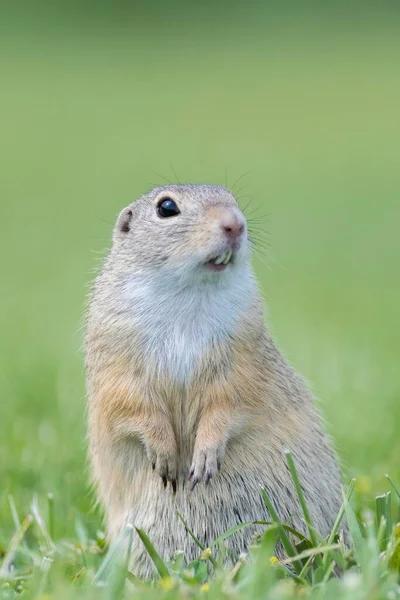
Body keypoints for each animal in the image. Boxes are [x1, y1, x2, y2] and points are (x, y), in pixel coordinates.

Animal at [86, 183, 342, 576]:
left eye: (232, 198)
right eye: (166, 207)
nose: (235, 224)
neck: (189, 292)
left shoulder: (241, 359)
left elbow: (229, 403)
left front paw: (205, 457)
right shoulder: (118, 362)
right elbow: (131, 404)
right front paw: (164, 456)